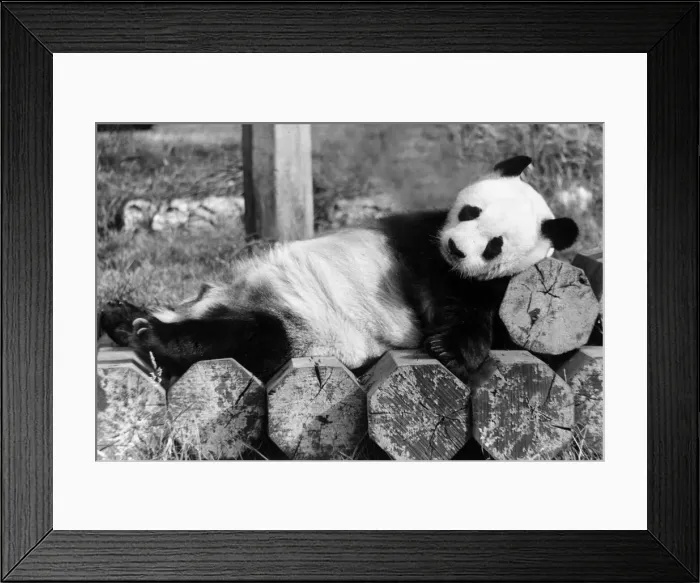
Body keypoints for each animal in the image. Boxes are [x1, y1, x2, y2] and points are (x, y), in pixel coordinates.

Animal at [100, 155, 579, 385]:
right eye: (469, 211)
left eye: (495, 244)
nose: (458, 248)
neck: (439, 264)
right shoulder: (417, 232)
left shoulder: (493, 286)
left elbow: (472, 316)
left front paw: (449, 349)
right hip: (229, 300)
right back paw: (124, 316)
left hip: (297, 334)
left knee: (251, 337)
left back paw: (144, 332)